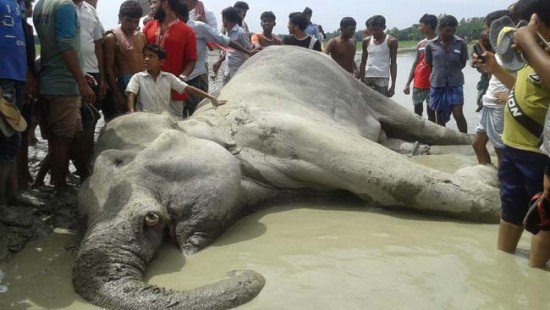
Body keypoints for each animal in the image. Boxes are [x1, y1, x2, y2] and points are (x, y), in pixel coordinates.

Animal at [74, 46, 504, 310]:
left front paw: (493, 190)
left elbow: (382, 175)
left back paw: (483, 155)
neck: (200, 121)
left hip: (350, 80)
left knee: (413, 123)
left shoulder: (276, 126)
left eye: (117, 161)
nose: (237, 269)